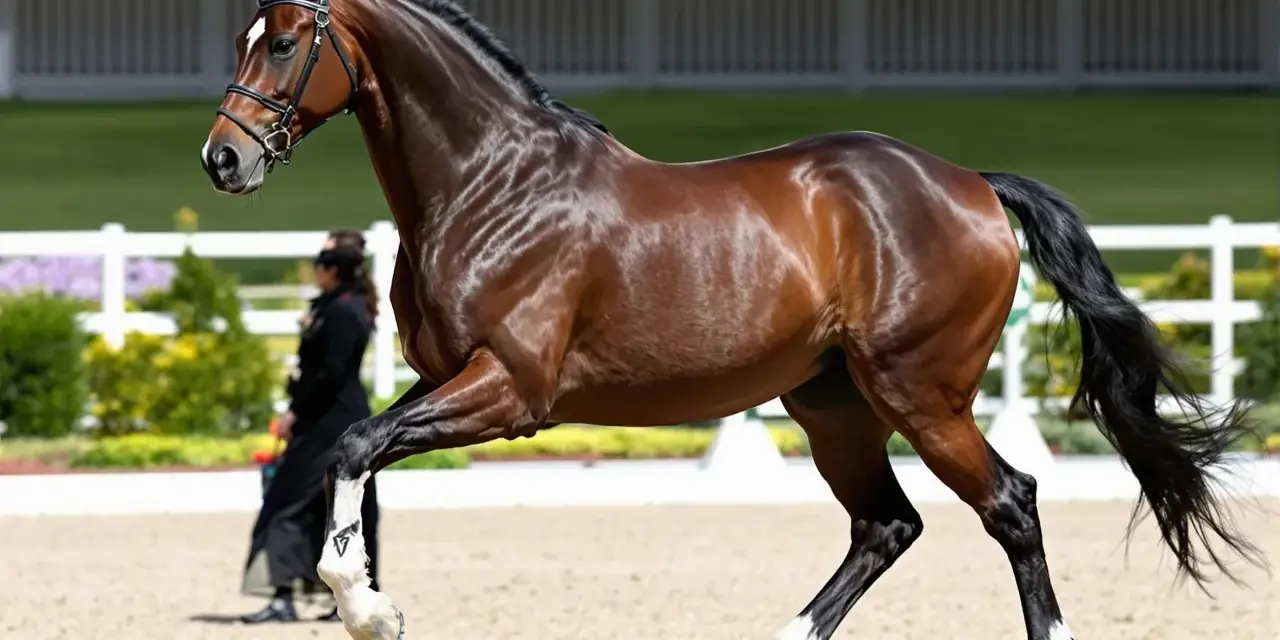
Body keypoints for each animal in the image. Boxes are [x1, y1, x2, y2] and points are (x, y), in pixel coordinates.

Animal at [199, 1, 1264, 638]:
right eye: (244, 36)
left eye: (284, 41)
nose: (224, 159)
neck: (493, 183)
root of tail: (969, 181)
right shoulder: (445, 377)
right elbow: (354, 451)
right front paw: (366, 598)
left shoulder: (511, 392)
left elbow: (349, 447)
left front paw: (367, 609)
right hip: (834, 407)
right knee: (887, 525)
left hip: (921, 397)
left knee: (1010, 504)